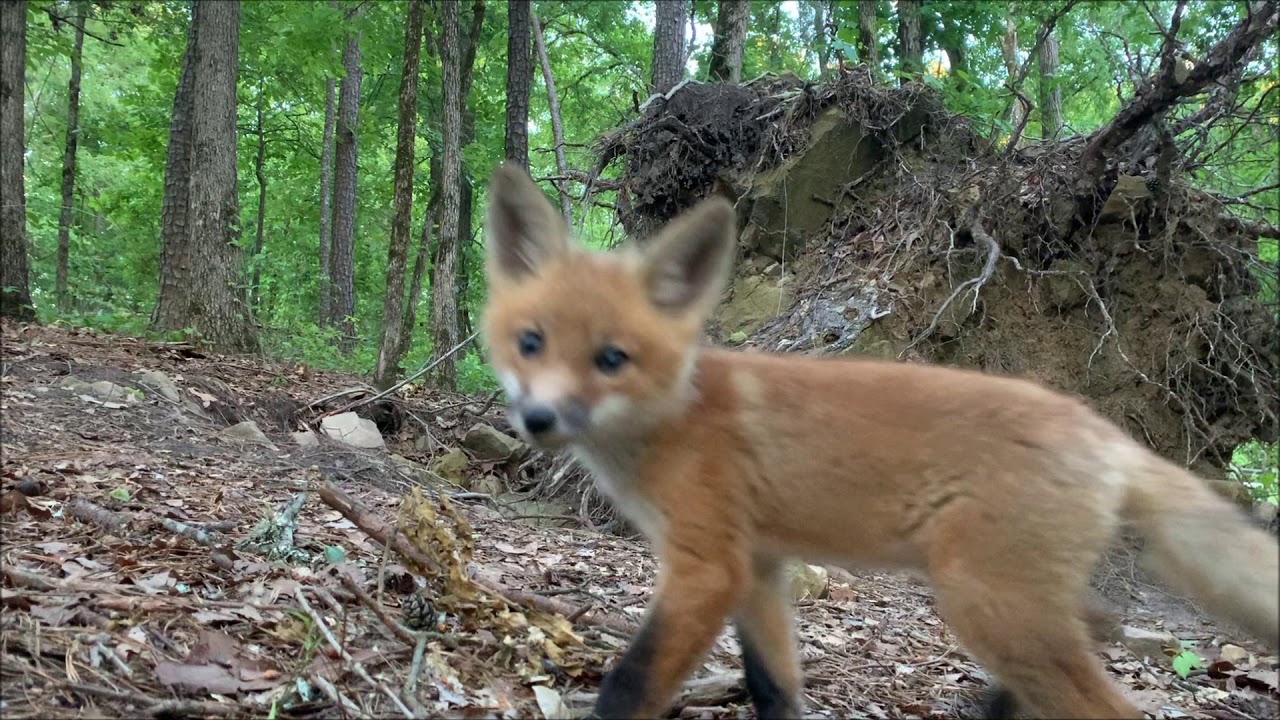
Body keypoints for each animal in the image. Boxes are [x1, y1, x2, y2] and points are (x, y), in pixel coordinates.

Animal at [478, 161, 1280, 720]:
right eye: (530, 342)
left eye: (611, 359)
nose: (540, 421)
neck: (674, 417)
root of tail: (1100, 427)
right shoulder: (759, 568)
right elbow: (775, 690)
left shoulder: (708, 566)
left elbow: (631, 684)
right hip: (1017, 607)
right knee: (1098, 630)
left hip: (984, 601)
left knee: (1109, 699)